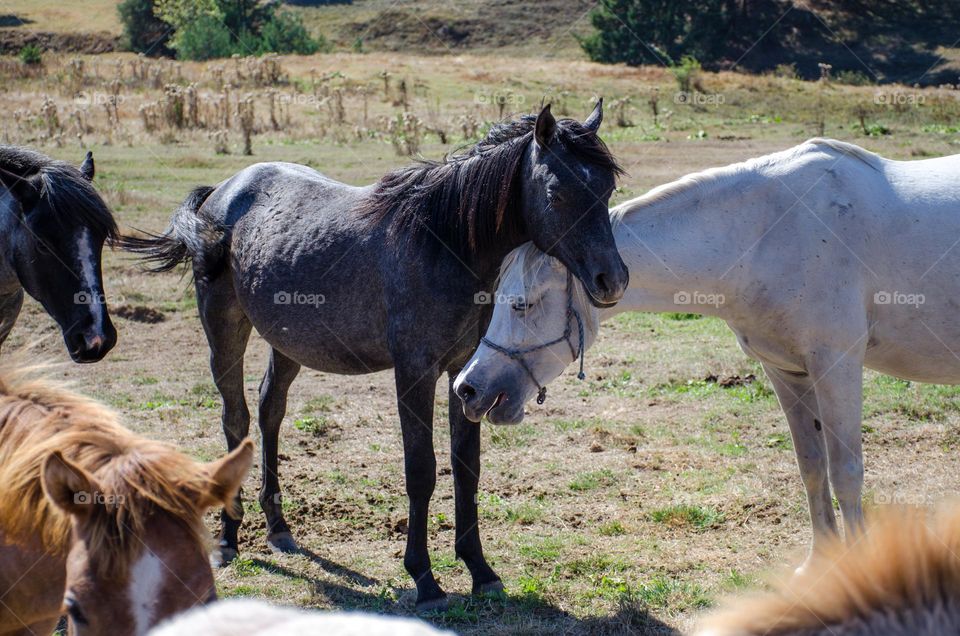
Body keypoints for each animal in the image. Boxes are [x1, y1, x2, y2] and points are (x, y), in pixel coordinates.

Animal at [122, 104, 632, 612]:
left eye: (606, 188)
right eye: (556, 193)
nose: (613, 280)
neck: (442, 243)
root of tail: (222, 192)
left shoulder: (465, 373)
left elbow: (466, 467)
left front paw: (480, 570)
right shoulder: (414, 372)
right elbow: (421, 470)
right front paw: (425, 579)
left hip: (288, 343)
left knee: (270, 411)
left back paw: (279, 528)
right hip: (224, 328)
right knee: (236, 419)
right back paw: (229, 538)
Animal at [454, 138, 960, 568]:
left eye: (522, 304)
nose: (467, 388)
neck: (768, 232)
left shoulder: (836, 367)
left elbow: (846, 473)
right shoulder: (788, 373)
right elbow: (813, 469)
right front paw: (822, 567)